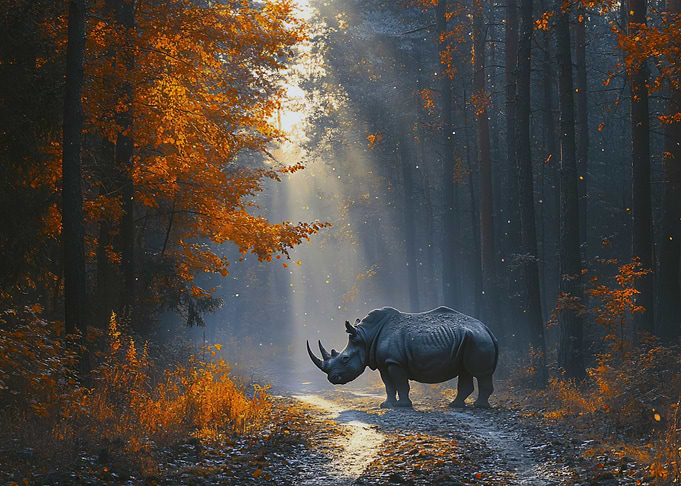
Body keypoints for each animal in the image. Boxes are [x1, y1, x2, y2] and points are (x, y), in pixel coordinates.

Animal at [307, 306, 498, 408]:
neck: (366, 337)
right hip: (469, 339)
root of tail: (488, 329)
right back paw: (455, 405)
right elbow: (388, 385)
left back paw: (479, 407)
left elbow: (400, 383)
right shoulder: (383, 363)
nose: (332, 378)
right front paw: (387, 405)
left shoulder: (395, 362)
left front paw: (404, 406)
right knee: (464, 370)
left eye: (345, 359)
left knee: (480, 373)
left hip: (478, 340)